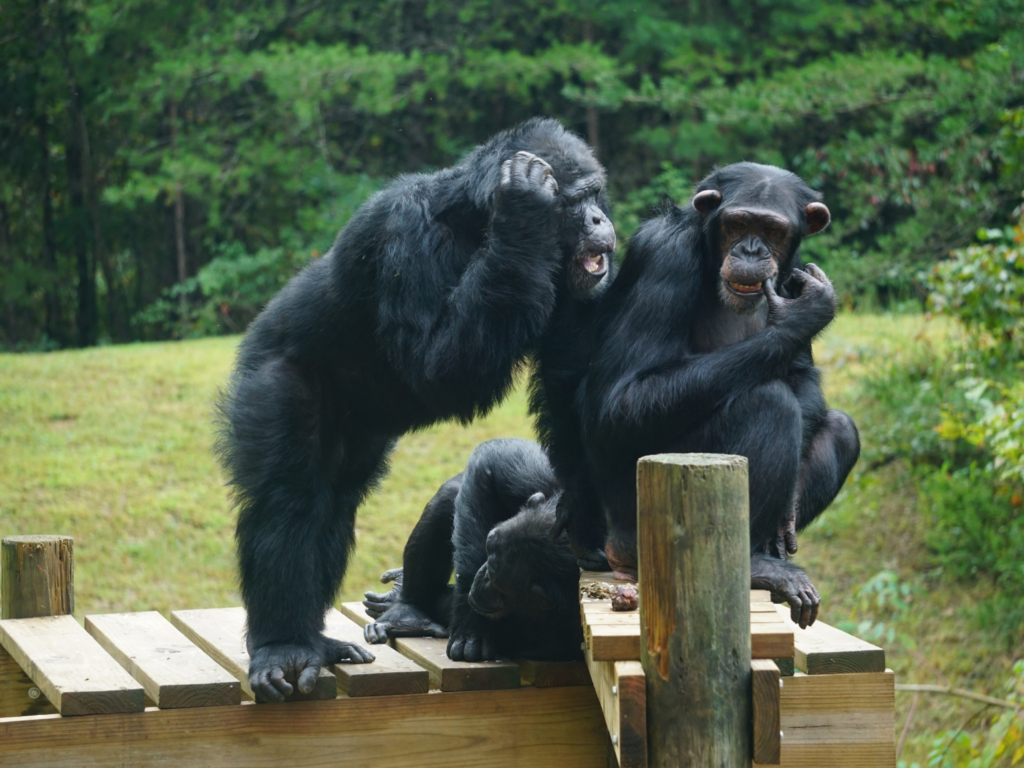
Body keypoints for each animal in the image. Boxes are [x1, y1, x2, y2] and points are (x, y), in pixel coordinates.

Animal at [362, 442, 585, 663]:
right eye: (489, 548)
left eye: (497, 582)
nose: (482, 578)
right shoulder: (548, 480)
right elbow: (492, 462)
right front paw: (471, 628)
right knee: (451, 493)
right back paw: (407, 610)